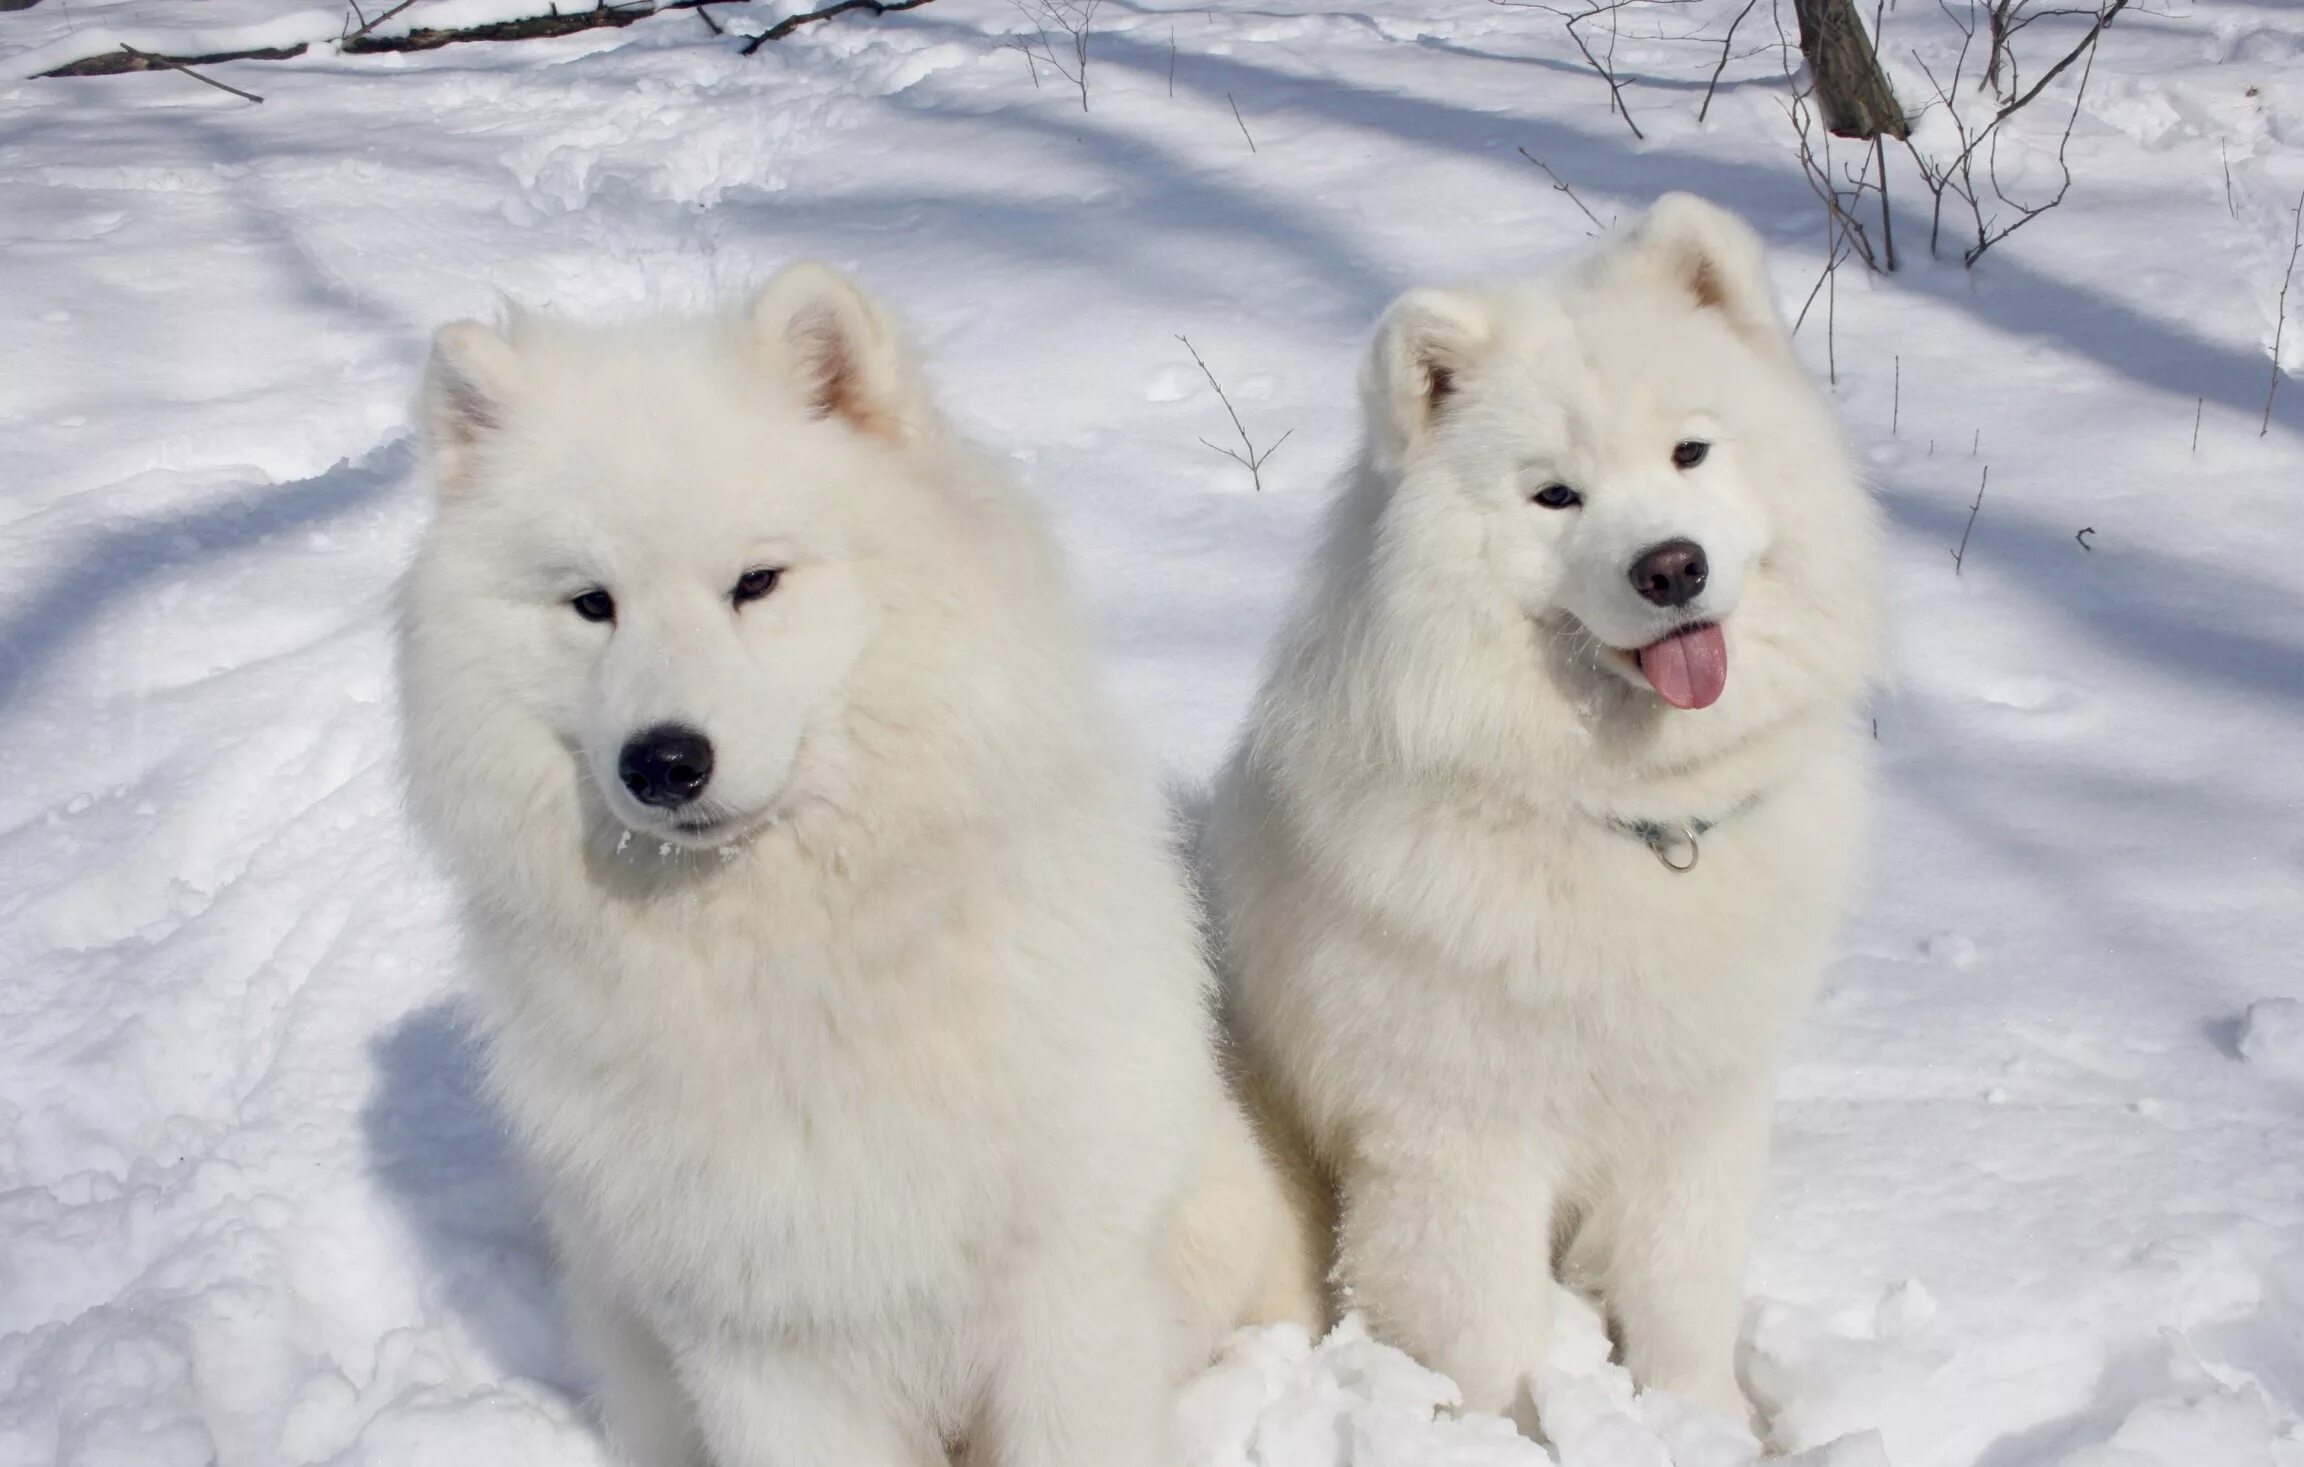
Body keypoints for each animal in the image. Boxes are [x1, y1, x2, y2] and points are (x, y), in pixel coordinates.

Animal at [396, 265, 1317, 1464]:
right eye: (591, 603)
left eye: (757, 582)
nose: (663, 761)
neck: (792, 962)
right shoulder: (760, 1341)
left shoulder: (1067, 1292)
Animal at [1207, 191, 1870, 1427]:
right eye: (1556, 494)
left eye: (1690, 451)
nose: (1671, 566)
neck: (1630, 816)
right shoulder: (1459, 1139)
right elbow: (1486, 1334)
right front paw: (1519, 1430)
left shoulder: (1697, 1109)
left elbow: (1683, 1294)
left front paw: (1706, 1423)